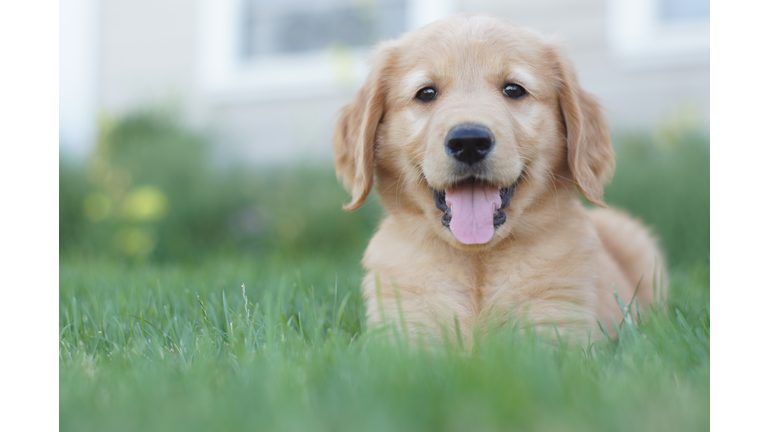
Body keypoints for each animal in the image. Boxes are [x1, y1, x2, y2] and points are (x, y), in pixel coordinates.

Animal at [332, 14, 664, 344]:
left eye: (514, 90)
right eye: (426, 93)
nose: (468, 142)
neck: (476, 259)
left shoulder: (556, 329)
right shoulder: (401, 334)